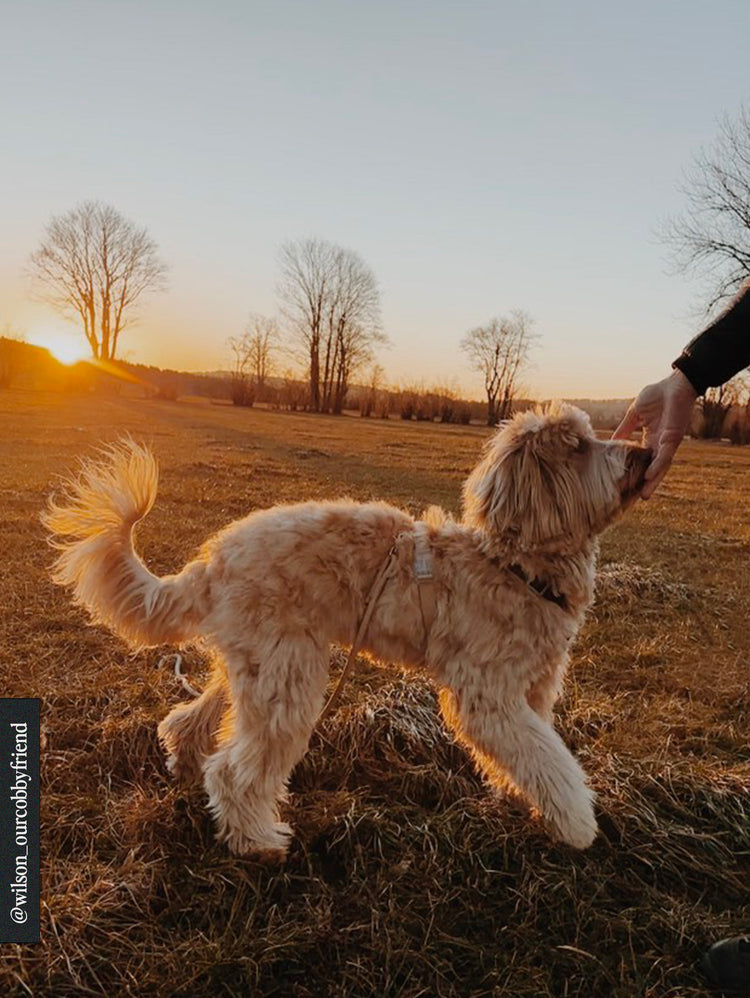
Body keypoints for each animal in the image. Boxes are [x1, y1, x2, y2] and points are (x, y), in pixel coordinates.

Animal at [44, 404, 652, 860]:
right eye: (578, 447)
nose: (645, 453)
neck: (514, 564)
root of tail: (215, 559)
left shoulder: (533, 687)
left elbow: (534, 754)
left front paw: (517, 797)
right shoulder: (490, 696)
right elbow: (549, 761)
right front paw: (576, 824)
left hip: (255, 664)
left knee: (194, 720)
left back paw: (187, 762)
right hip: (288, 674)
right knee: (238, 771)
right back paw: (256, 840)